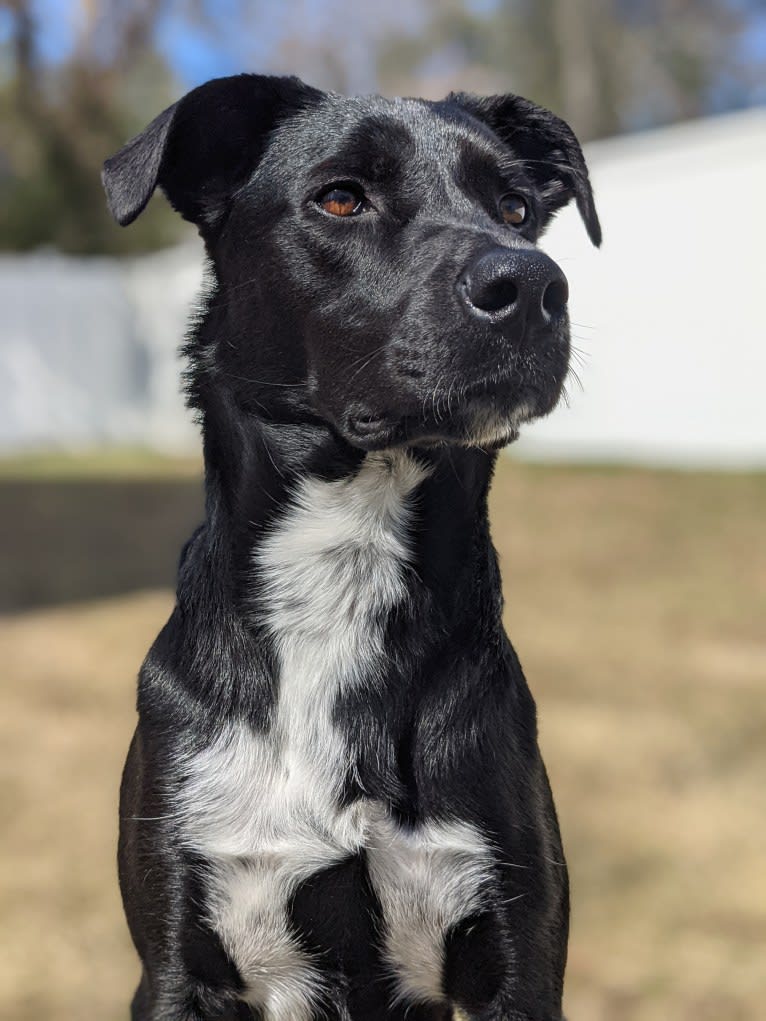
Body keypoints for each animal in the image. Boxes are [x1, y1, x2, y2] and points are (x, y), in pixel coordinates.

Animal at [102, 74, 604, 1021]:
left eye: (516, 209)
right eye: (341, 198)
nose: (532, 284)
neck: (347, 561)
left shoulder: (517, 953)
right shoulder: (177, 962)